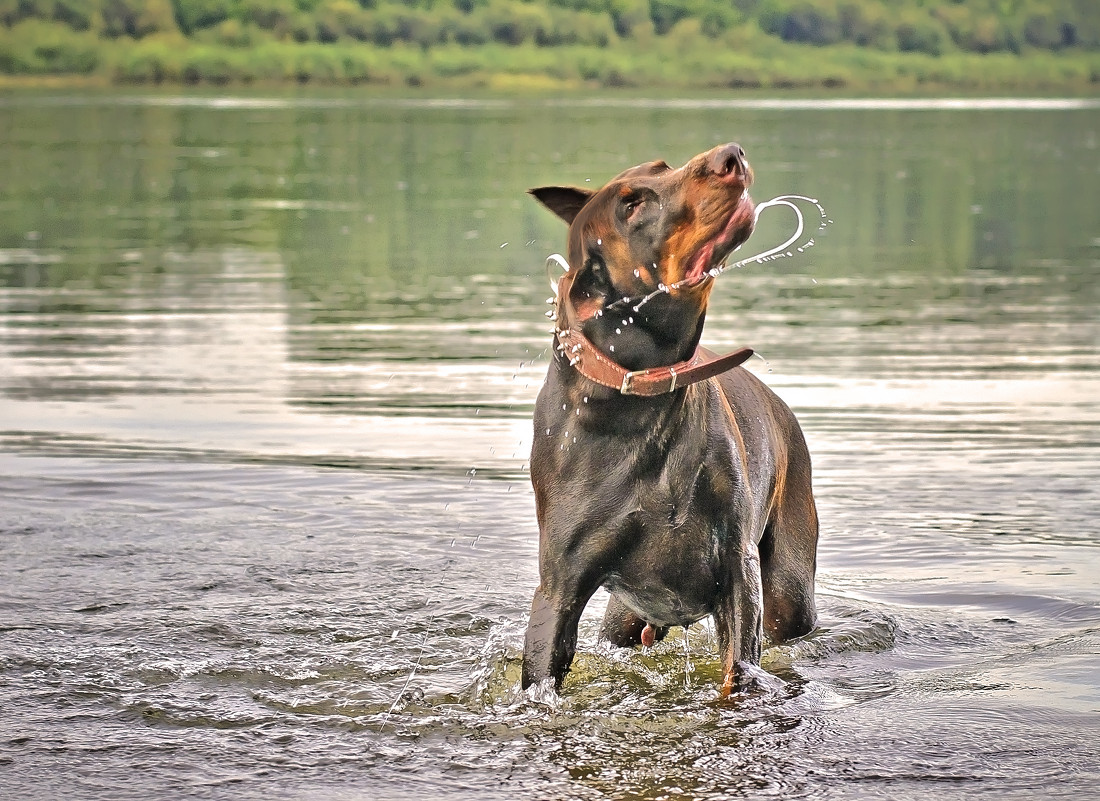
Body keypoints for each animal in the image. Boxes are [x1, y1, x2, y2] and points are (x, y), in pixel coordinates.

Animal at [521, 141, 818, 695]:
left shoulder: (736, 567)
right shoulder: (559, 588)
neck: (637, 406)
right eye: (631, 204)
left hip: (789, 591)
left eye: (662, 167)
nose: (730, 155)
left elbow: (738, 672)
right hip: (623, 614)